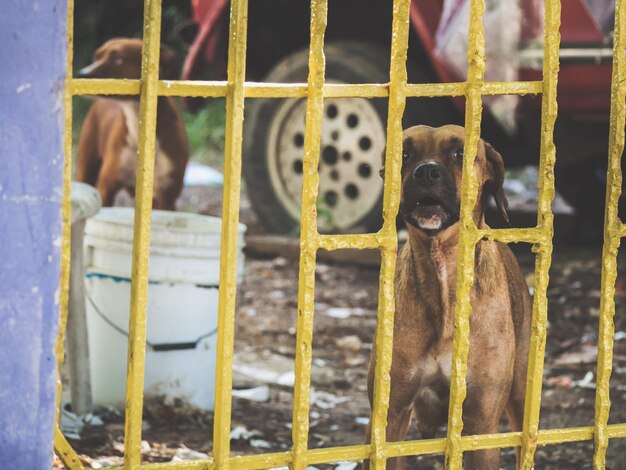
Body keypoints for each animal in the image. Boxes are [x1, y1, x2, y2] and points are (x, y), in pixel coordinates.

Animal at [75, 37, 188, 210]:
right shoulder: (107, 187)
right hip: (86, 167)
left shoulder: (166, 197)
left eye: (117, 60)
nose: (80, 74)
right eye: (96, 57)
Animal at [366, 126, 532, 470]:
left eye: (460, 153)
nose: (427, 171)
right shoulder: (389, 419)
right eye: (404, 153)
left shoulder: (481, 424)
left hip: (521, 398)